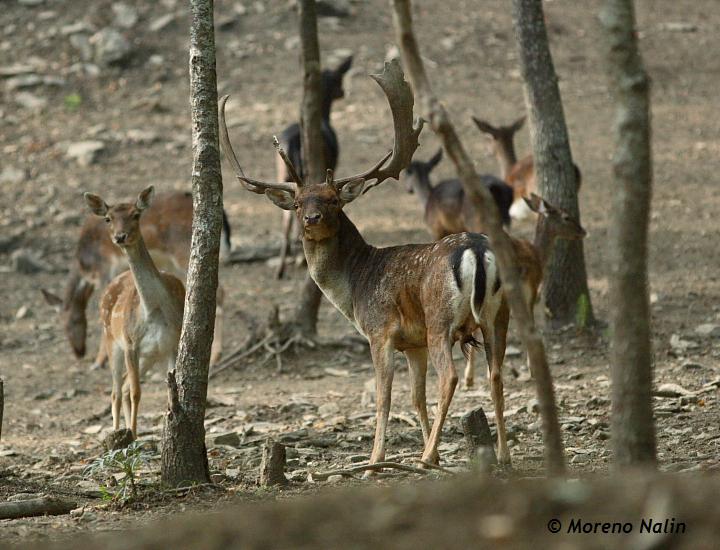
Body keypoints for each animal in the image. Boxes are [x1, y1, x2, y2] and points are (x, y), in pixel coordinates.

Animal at [84, 187, 186, 440]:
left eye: (136, 215)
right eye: (108, 218)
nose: (120, 237)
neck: (154, 311)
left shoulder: (171, 343)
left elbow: (167, 389)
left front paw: (171, 421)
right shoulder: (131, 343)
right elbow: (137, 392)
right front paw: (133, 433)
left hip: (149, 356)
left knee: (124, 385)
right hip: (112, 341)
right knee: (116, 390)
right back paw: (118, 432)